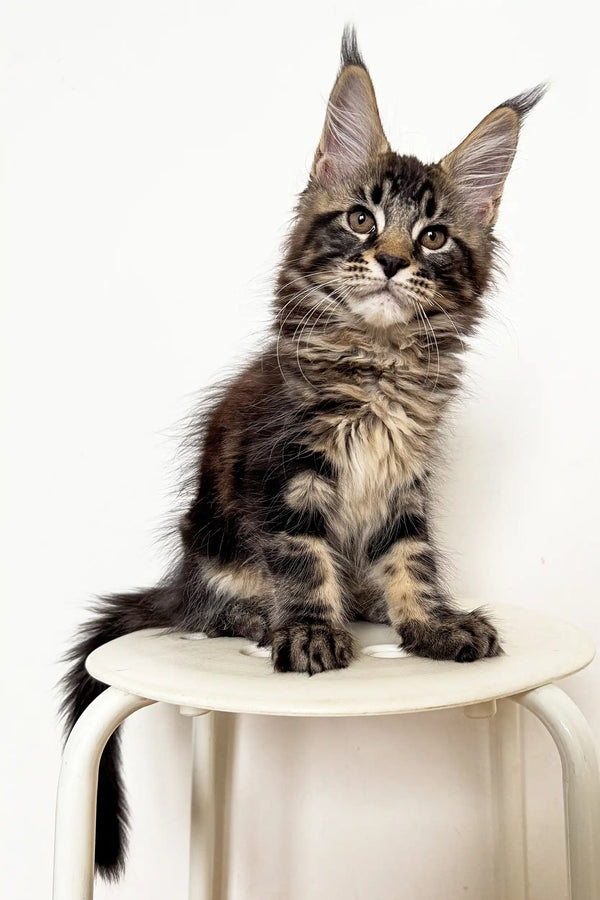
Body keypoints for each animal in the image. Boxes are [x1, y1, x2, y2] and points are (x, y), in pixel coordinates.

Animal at [61, 26, 544, 880]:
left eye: (433, 237)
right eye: (359, 219)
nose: (391, 260)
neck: (380, 364)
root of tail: (180, 580)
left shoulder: (405, 483)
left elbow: (412, 560)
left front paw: (433, 622)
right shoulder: (288, 472)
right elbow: (304, 557)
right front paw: (311, 630)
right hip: (211, 544)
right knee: (216, 609)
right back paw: (264, 617)